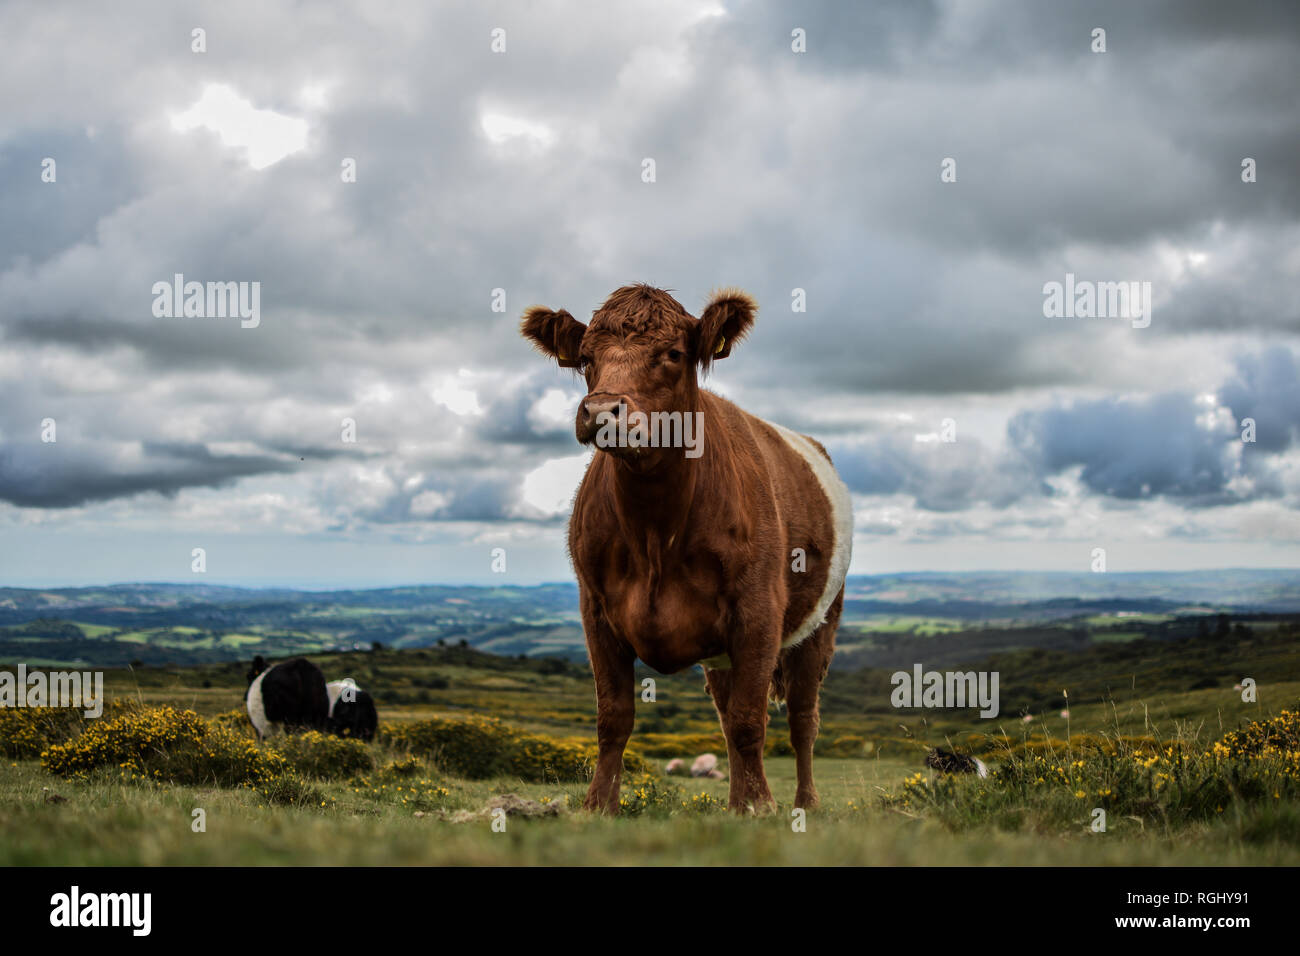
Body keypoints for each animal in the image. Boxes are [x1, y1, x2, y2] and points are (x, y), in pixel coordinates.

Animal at [521, 284, 853, 813]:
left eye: (673, 354)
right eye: (587, 358)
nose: (601, 411)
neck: (655, 530)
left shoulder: (759, 612)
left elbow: (751, 721)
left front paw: (762, 805)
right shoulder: (596, 611)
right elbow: (613, 717)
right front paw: (598, 806)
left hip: (820, 625)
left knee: (803, 719)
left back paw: (803, 803)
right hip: (722, 654)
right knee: (727, 713)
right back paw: (736, 802)